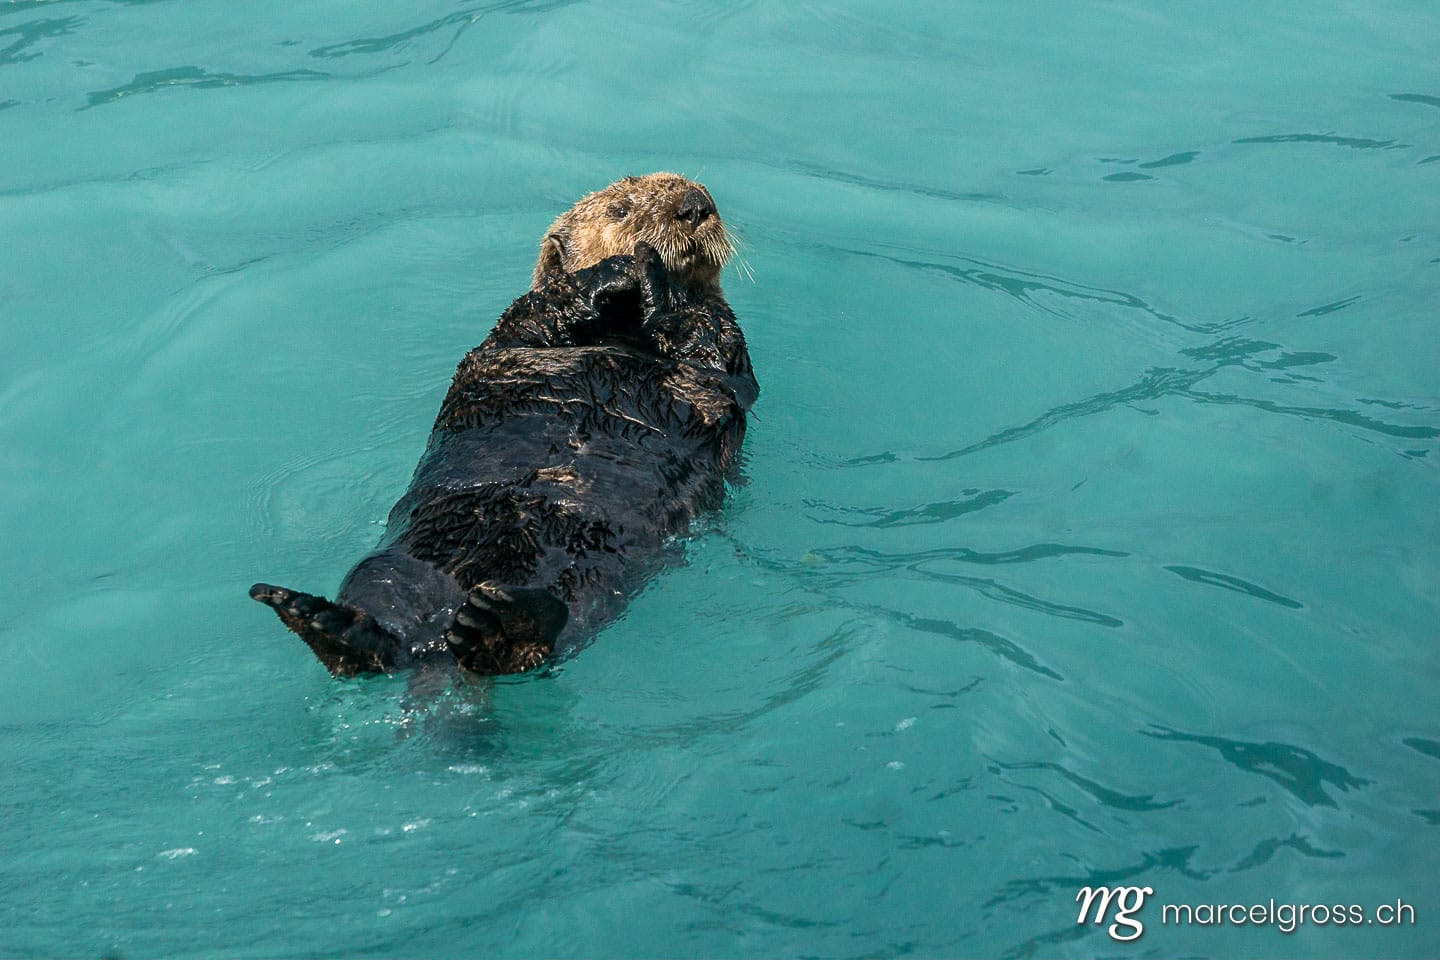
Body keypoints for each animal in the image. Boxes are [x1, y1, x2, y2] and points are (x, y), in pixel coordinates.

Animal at [250, 174, 757, 677]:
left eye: (705, 197)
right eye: (620, 210)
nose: (695, 206)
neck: (623, 331)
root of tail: (438, 639)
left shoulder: (723, 345)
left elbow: (708, 341)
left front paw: (657, 275)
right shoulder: (518, 329)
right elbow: (538, 310)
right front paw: (622, 268)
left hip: (590, 578)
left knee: (548, 628)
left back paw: (502, 625)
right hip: (394, 564)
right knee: (380, 608)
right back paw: (321, 620)